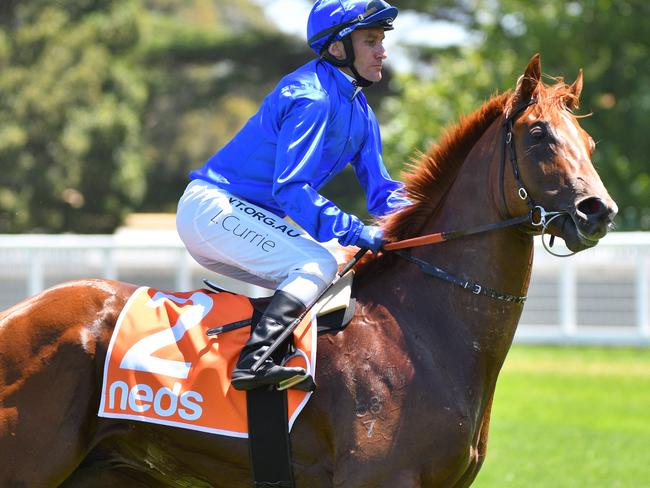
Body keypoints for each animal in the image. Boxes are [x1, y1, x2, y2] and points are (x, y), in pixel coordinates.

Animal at [0, 55, 616, 486]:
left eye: (589, 141)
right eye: (538, 134)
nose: (599, 211)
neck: (417, 331)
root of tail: (18, 314)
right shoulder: (380, 479)